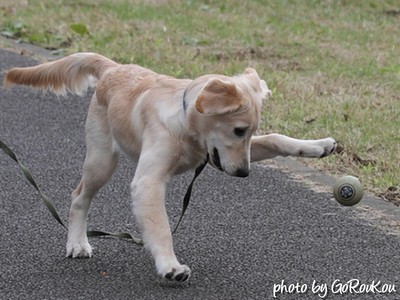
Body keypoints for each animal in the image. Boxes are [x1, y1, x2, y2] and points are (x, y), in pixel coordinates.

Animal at [3, 52, 334, 282]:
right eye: (238, 130)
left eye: (251, 132)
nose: (244, 173)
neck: (187, 127)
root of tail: (113, 68)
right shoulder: (149, 181)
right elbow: (161, 228)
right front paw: (170, 265)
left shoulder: (216, 156)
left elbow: (277, 139)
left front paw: (319, 145)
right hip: (102, 161)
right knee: (79, 197)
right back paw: (77, 243)